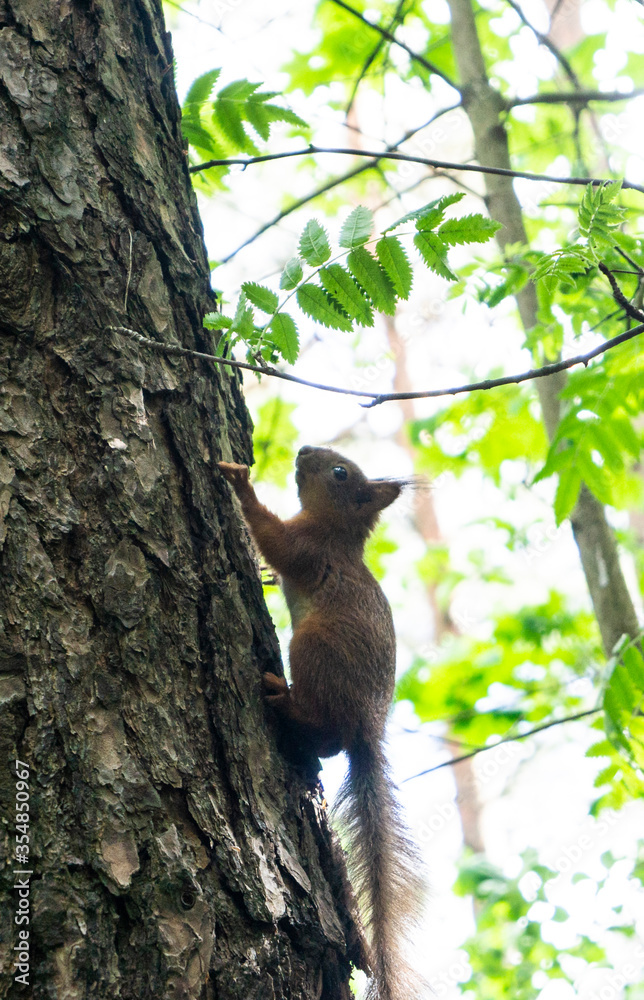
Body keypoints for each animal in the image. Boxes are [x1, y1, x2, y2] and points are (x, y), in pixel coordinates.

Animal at [219, 445, 426, 1000]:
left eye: (340, 473)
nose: (304, 450)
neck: (338, 532)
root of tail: (366, 728)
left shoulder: (310, 548)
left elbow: (278, 543)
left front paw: (240, 486)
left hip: (310, 648)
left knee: (326, 733)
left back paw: (281, 698)